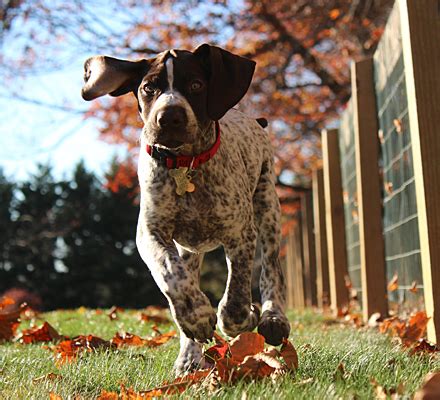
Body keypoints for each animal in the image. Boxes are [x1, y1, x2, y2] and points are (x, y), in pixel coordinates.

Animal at [81, 44, 290, 376]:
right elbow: (171, 274)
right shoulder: (151, 234)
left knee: (271, 269)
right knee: (185, 277)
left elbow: (236, 294)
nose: (169, 117)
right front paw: (196, 316)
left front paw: (243, 317)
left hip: (268, 205)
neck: (185, 165)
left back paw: (272, 318)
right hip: (190, 249)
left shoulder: (241, 233)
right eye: (148, 88)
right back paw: (189, 357)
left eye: (195, 85)